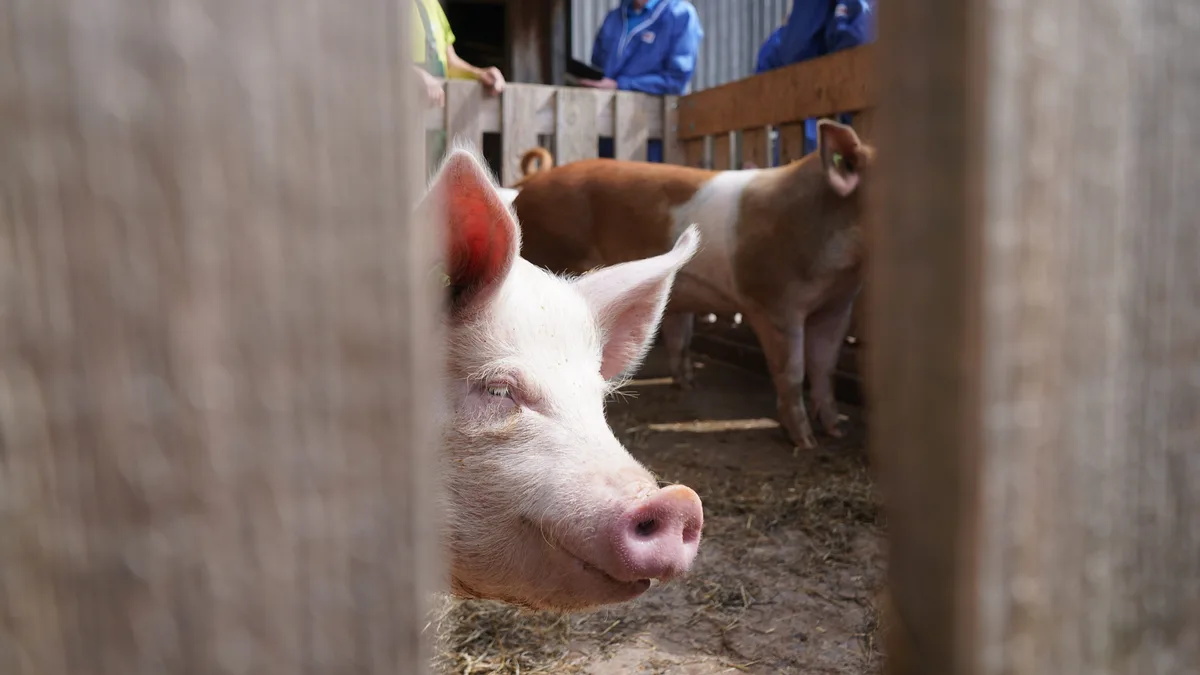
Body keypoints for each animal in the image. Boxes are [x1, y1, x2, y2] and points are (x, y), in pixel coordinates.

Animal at [511, 120, 872, 450]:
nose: (817, 439)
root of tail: (530, 184)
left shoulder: (838, 304)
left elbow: (825, 368)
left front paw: (836, 431)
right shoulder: (773, 302)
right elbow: (793, 370)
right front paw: (806, 443)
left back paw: (688, 385)